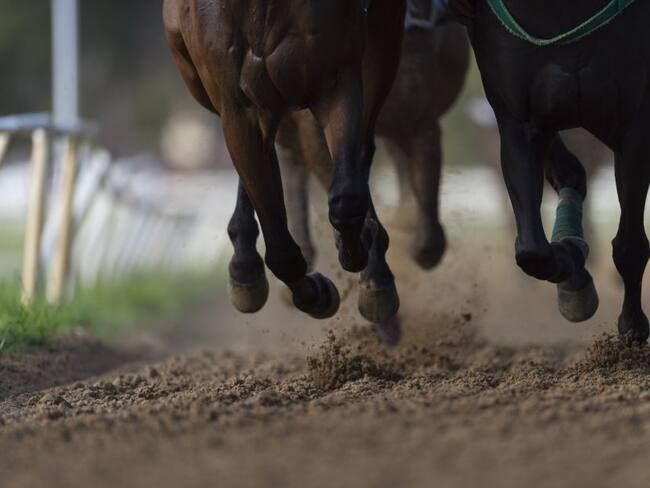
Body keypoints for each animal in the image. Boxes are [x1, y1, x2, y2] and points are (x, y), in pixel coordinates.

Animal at [163, 0, 407, 323]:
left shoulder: (336, 77)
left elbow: (346, 198)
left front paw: (361, 254)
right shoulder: (238, 108)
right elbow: (280, 249)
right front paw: (316, 293)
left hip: (383, 44)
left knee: (361, 150)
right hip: (198, 80)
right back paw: (245, 267)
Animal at [456, 0, 650, 341]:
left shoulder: (636, 124)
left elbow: (630, 244)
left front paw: (632, 327)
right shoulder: (519, 119)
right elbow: (532, 250)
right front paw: (571, 263)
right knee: (568, 173)